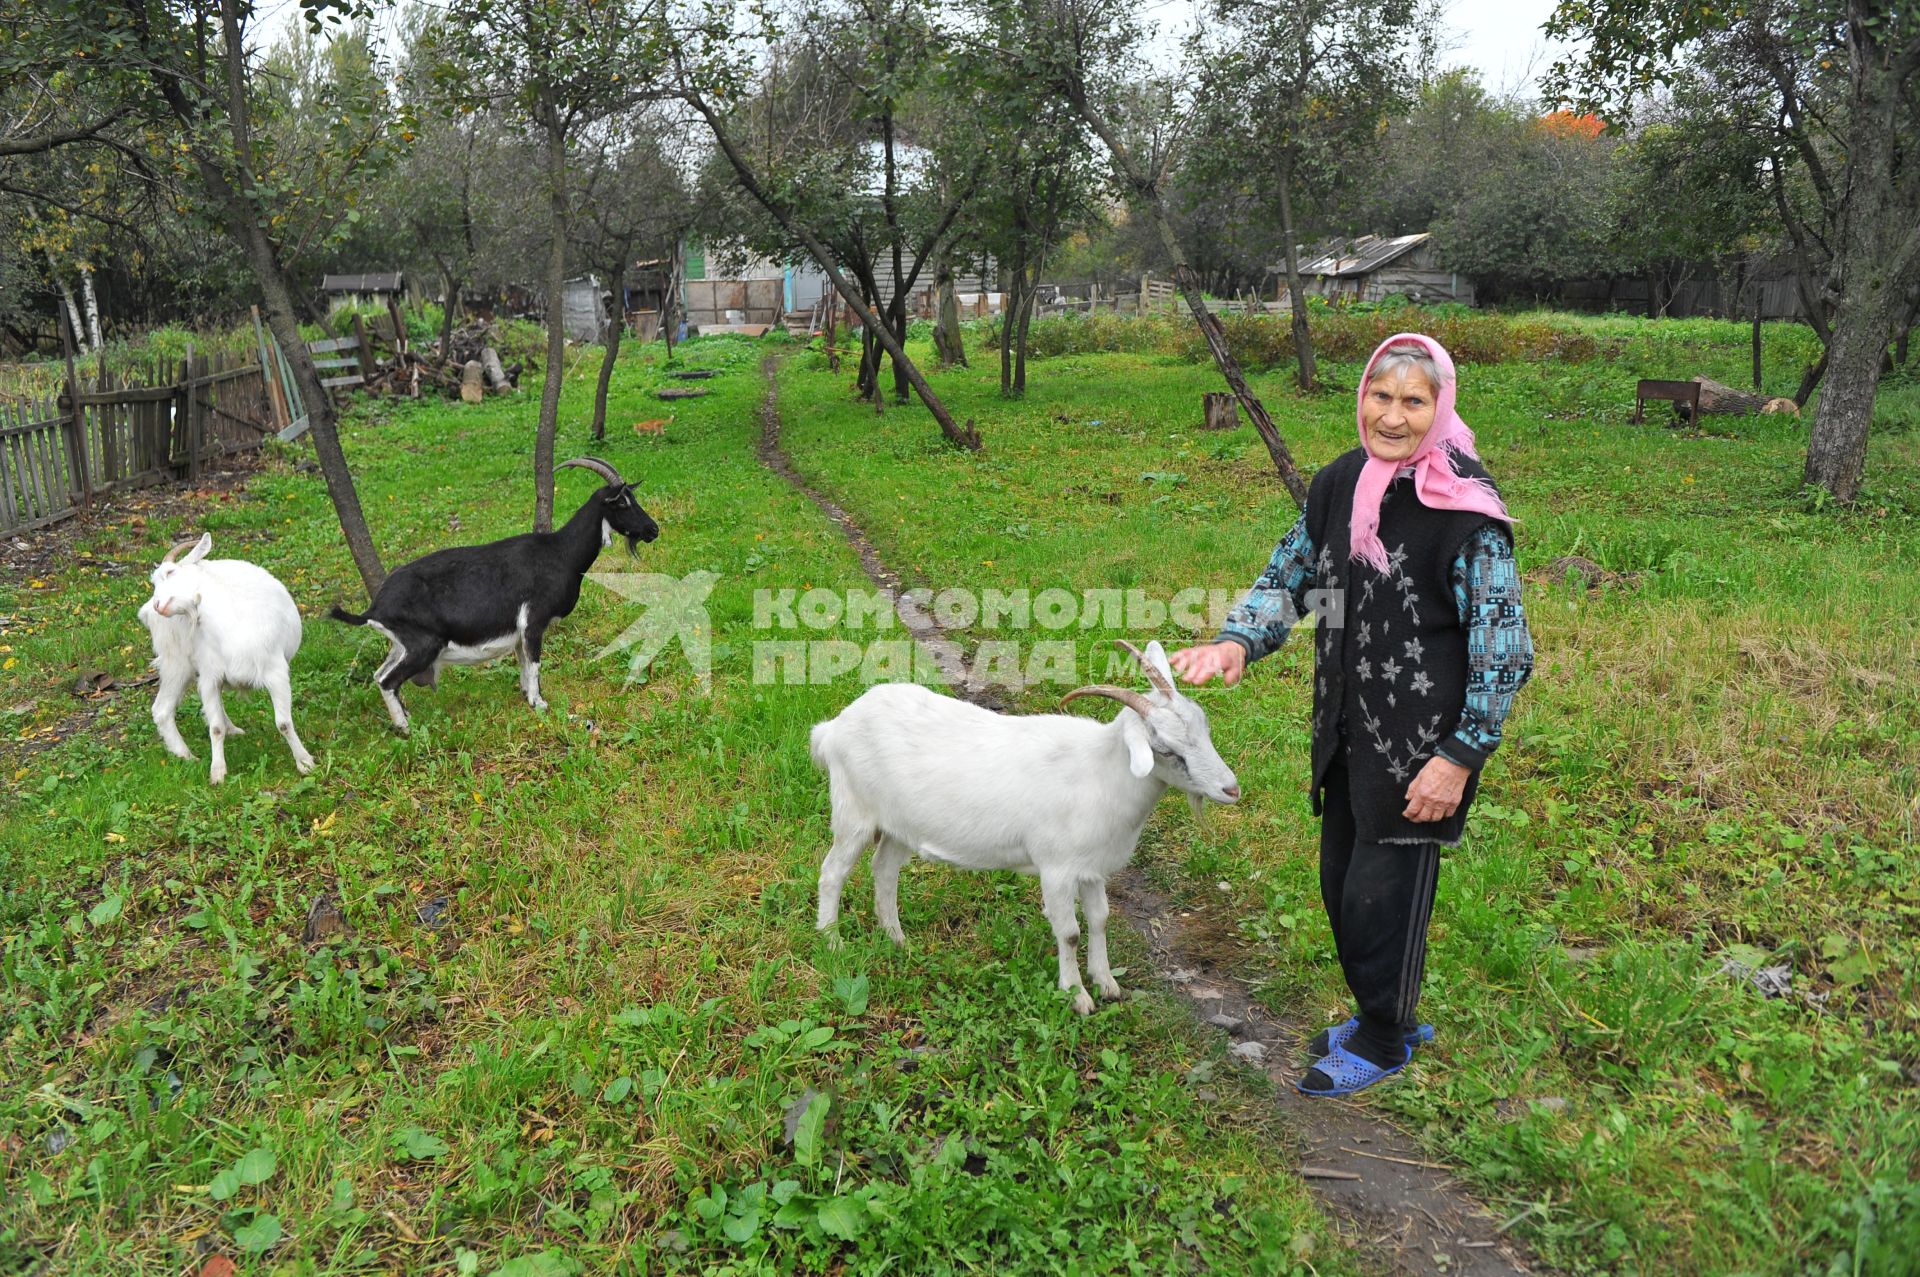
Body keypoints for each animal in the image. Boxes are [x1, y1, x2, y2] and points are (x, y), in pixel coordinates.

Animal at [139, 530, 312, 787]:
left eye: (169, 573)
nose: (159, 605)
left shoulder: (276, 672)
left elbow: (283, 723)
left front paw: (305, 762)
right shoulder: (210, 677)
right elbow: (215, 728)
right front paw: (217, 772)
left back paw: (230, 731)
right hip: (176, 662)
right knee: (162, 709)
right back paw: (186, 756)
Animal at [330, 455, 660, 733]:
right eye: (623, 503)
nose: (652, 530)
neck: (560, 553)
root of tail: (375, 608)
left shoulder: (520, 631)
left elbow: (524, 663)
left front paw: (527, 695)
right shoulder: (534, 621)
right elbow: (535, 663)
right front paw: (540, 704)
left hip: (401, 645)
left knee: (380, 674)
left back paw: (406, 716)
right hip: (423, 645)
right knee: (388, 680)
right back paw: (405, 728)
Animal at [806, 641, 1228, 1013]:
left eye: (1205, 727)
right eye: (1166, 750)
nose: (1231, 789)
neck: (1100, 772)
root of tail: (834, 728)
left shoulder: (1092, 868)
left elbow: (1100, 919)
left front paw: (1106, 983)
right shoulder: (1056, 869)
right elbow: (1070, 933)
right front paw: (1076, 996)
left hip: (900, 825)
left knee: (884, 869)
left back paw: (896, 939)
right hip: (854, 812)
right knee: (832, 873)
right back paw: (833, 942)